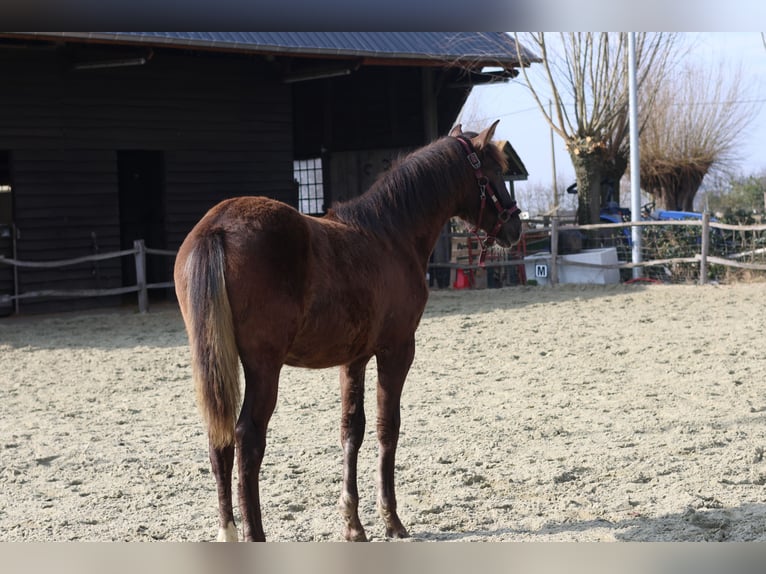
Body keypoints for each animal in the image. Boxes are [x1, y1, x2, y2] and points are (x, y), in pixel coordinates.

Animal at [173, 120, 522, 542]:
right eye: (494, 173)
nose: (516, 226)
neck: (390, 234)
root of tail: (218, 227)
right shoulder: (397, 350)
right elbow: (388, 427)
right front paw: (392, 520)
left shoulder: (353, 358)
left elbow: (351, 431)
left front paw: (353, 525)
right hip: (263, 367)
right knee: (247, 437)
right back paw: (255, 533)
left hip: (214, 361)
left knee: (220, 438)